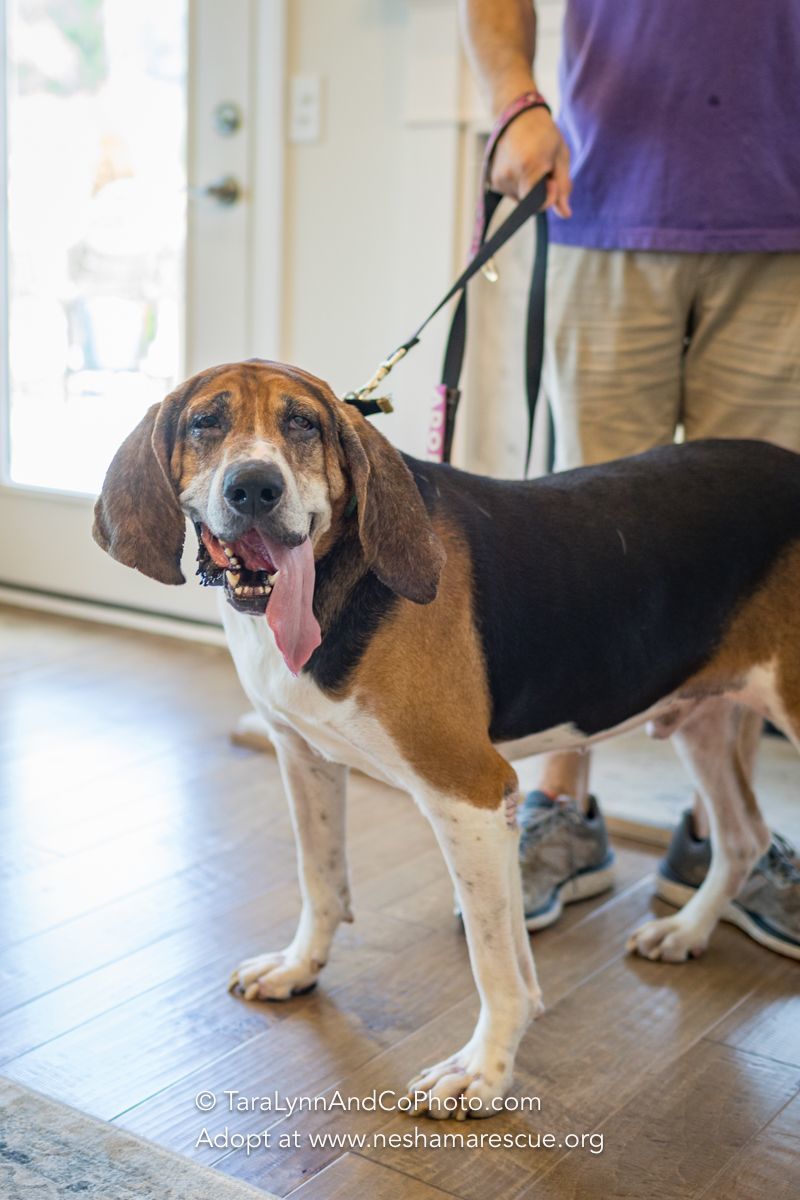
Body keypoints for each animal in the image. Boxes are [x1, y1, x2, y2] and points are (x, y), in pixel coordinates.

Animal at [95, 355, 800, 1113]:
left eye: (303, 423)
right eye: (205, 421)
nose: (254, 487)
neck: (337, 582)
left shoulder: (472, 795)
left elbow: (495, 964)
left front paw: (484, 1070)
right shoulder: (305, 757)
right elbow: (322, 880)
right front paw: (300, 966)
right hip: (705, 718)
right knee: (743, 837)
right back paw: (687, 930)